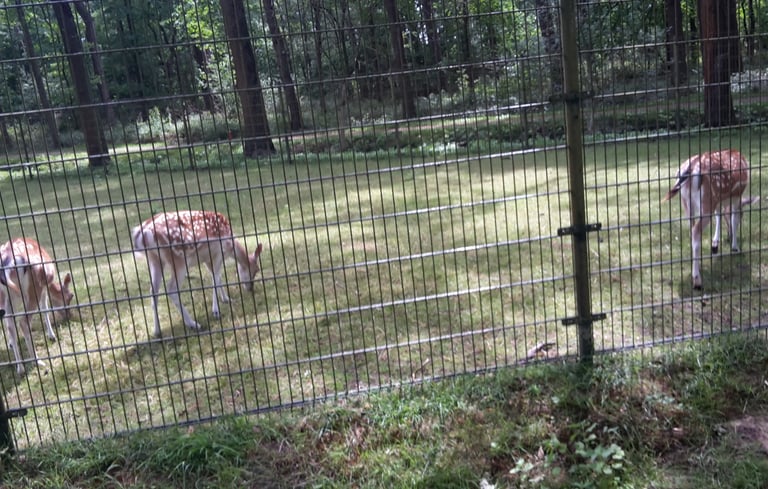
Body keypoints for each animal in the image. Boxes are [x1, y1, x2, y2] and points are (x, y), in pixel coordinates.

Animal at [0, 238, 74, 374]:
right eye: (70, 297)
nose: (69, 315)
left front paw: (10, 344)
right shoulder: (43, 287)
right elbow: (45, 308)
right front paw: (52, 336)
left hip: (4, 295)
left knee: (10, 326)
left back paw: (20, 368)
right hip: (34, 288)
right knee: (23, 322)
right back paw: (37, 361)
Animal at [131, 210, 264, 338]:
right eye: (256, 269)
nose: (250, 288)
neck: (231, 247)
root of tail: (142, 232)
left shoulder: (207, 259)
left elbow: (217, 276)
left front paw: (226, 299)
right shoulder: (219, 252)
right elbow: (215, 278)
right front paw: (216, 311)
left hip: (154, 260)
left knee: (153, 291)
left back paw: (157, 331)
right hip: (178, 259)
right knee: (171, 289)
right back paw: (193, 324)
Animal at [662, 149, 759, 290]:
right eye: (743, 215)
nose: (728, 236)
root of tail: (690, 169)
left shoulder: (717, 201)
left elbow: (718, 215)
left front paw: (715, 244)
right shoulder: (736, 196)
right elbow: (733, 218)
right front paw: (735, 247)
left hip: (686, 202)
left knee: (691, 228)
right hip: (707, 201)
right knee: (696, 231)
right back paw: (697, 280)